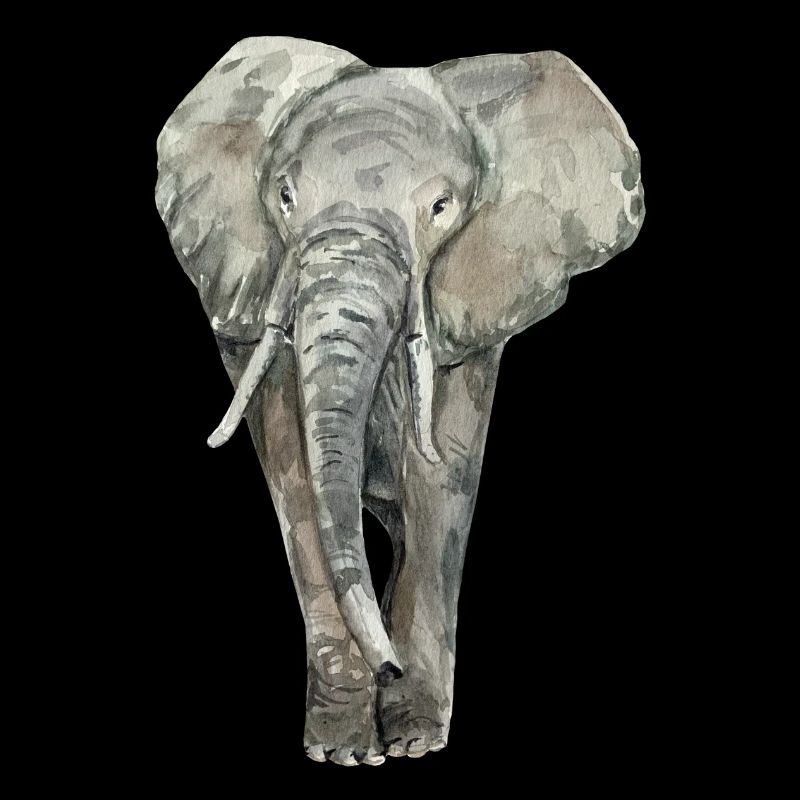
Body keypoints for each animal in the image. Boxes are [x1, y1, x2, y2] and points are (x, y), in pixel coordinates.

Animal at [155, 36, 644, 766]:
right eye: (286, 196)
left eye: (441, 207)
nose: (386, 666)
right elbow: (293, 470)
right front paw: (344, 749)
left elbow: (440, 477)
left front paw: (413, 742)